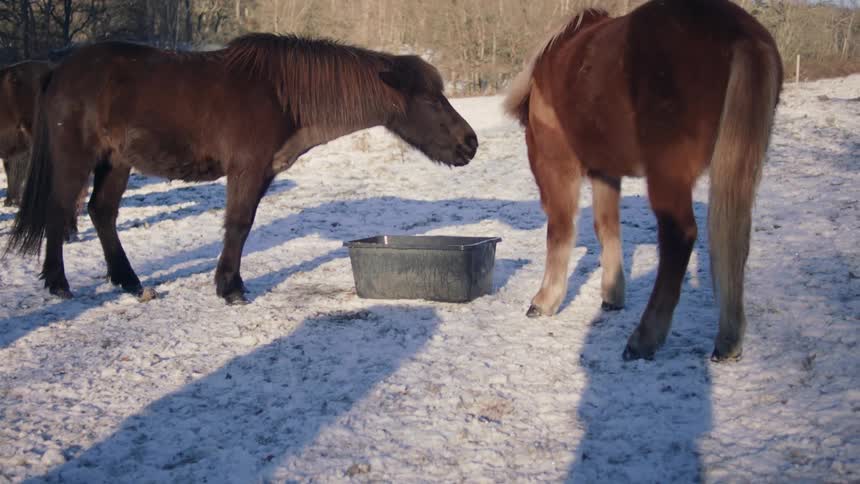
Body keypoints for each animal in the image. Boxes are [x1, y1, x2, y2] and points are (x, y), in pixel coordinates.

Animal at [7, 33, 478, 305]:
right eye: (431, 100)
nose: (469, 143)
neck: (281, 93)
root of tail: (59, 70)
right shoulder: (247, 170)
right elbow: (239, 225)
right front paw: (230, 287)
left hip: (117, 161)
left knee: (102, 213)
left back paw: (129, 281)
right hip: (76, 158)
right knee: (59, 212)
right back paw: (58, 283)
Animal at [504, 0, 782, 361]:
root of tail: (739, 29)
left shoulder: (559, 167)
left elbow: (560, 232)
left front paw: (545, 300)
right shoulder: (605, 171)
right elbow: (607, 227)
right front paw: (612, 294)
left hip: (667, 176)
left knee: (678, 239)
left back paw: (645, 337)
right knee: (734, 240)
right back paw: (728, 339)